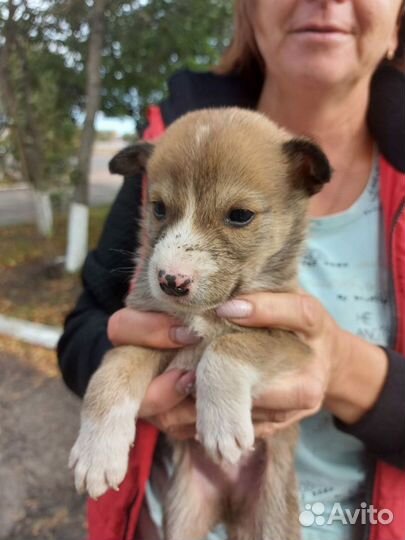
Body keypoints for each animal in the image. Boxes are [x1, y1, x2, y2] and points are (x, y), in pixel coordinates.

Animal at [68, 108, 328, 540]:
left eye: (240, 216)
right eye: (158, 208)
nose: (171, 281)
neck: (204, 313)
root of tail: (230, 504)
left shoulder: (295, 344)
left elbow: (229, 346)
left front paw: (222, 423)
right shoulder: (142, 333)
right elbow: (109, 380)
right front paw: (97, 455)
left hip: (272, 519)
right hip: (183, 513)